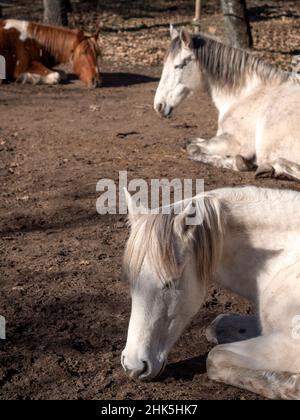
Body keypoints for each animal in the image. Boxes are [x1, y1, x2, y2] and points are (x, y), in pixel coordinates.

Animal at [120, 188, 300, 400]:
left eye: (171, 281)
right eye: (131, 278)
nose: (133, 366)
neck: (285, 262)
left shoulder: (291, 344)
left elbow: (215, 357)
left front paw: (289, 385)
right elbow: (216, 326)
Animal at [155, 27, 300, 181]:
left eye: (178, 66)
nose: (158, 105)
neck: (246, 94)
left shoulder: (234, 142)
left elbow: (193, 149)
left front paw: (240, 163)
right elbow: (190, 142)